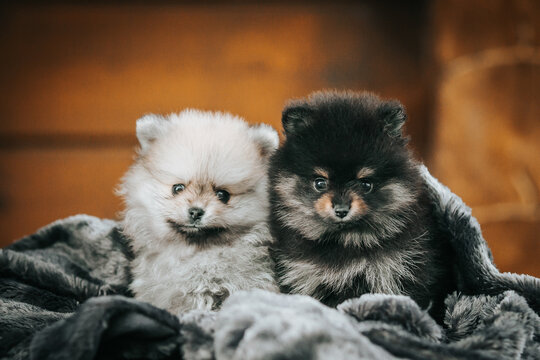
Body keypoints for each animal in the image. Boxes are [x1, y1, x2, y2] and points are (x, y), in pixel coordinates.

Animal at [270, 90, 456, 320]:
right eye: (320, 183)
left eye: (365, 183)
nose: (341, 209)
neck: (346, 242)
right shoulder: (305, 276)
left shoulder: (398, 272)